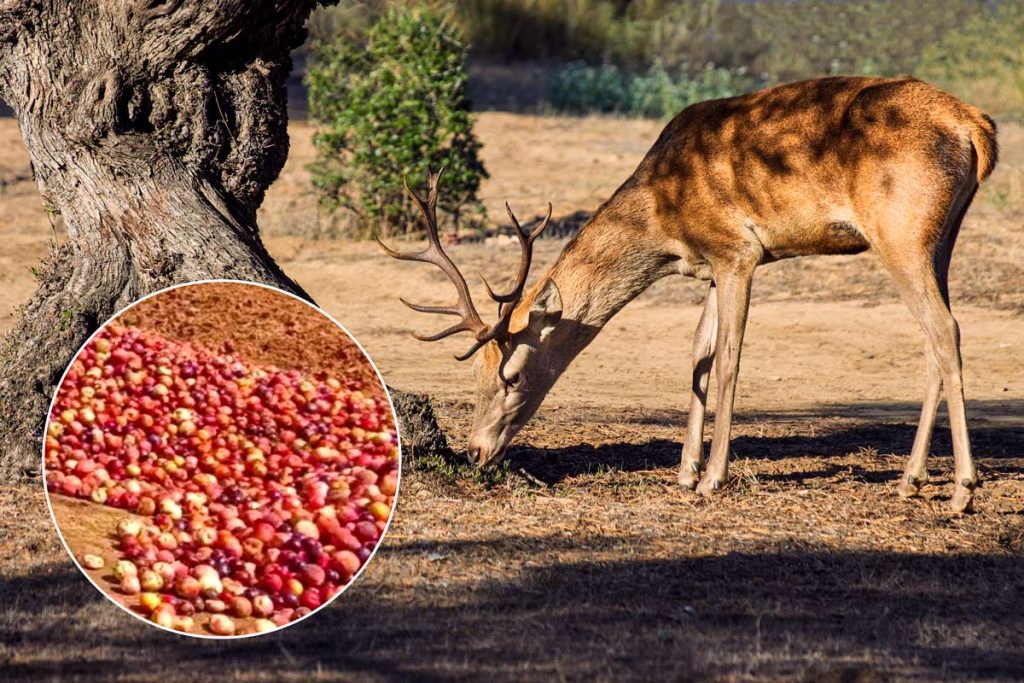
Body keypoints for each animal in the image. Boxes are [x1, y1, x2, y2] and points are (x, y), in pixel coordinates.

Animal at [379, 76, 998, 513]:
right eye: (475, 373)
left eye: (511, 375)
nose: (475, 451)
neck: (663, 212)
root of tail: (976, 126)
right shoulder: (709, 266)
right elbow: (698, 356)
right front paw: (684, 471)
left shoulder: (738, 252)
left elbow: (727, 362)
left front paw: (712, 478)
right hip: (939, 236)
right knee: (935, 336)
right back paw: (911, 480)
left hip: (901, 230)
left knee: (945, 329)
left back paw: (961, 489)